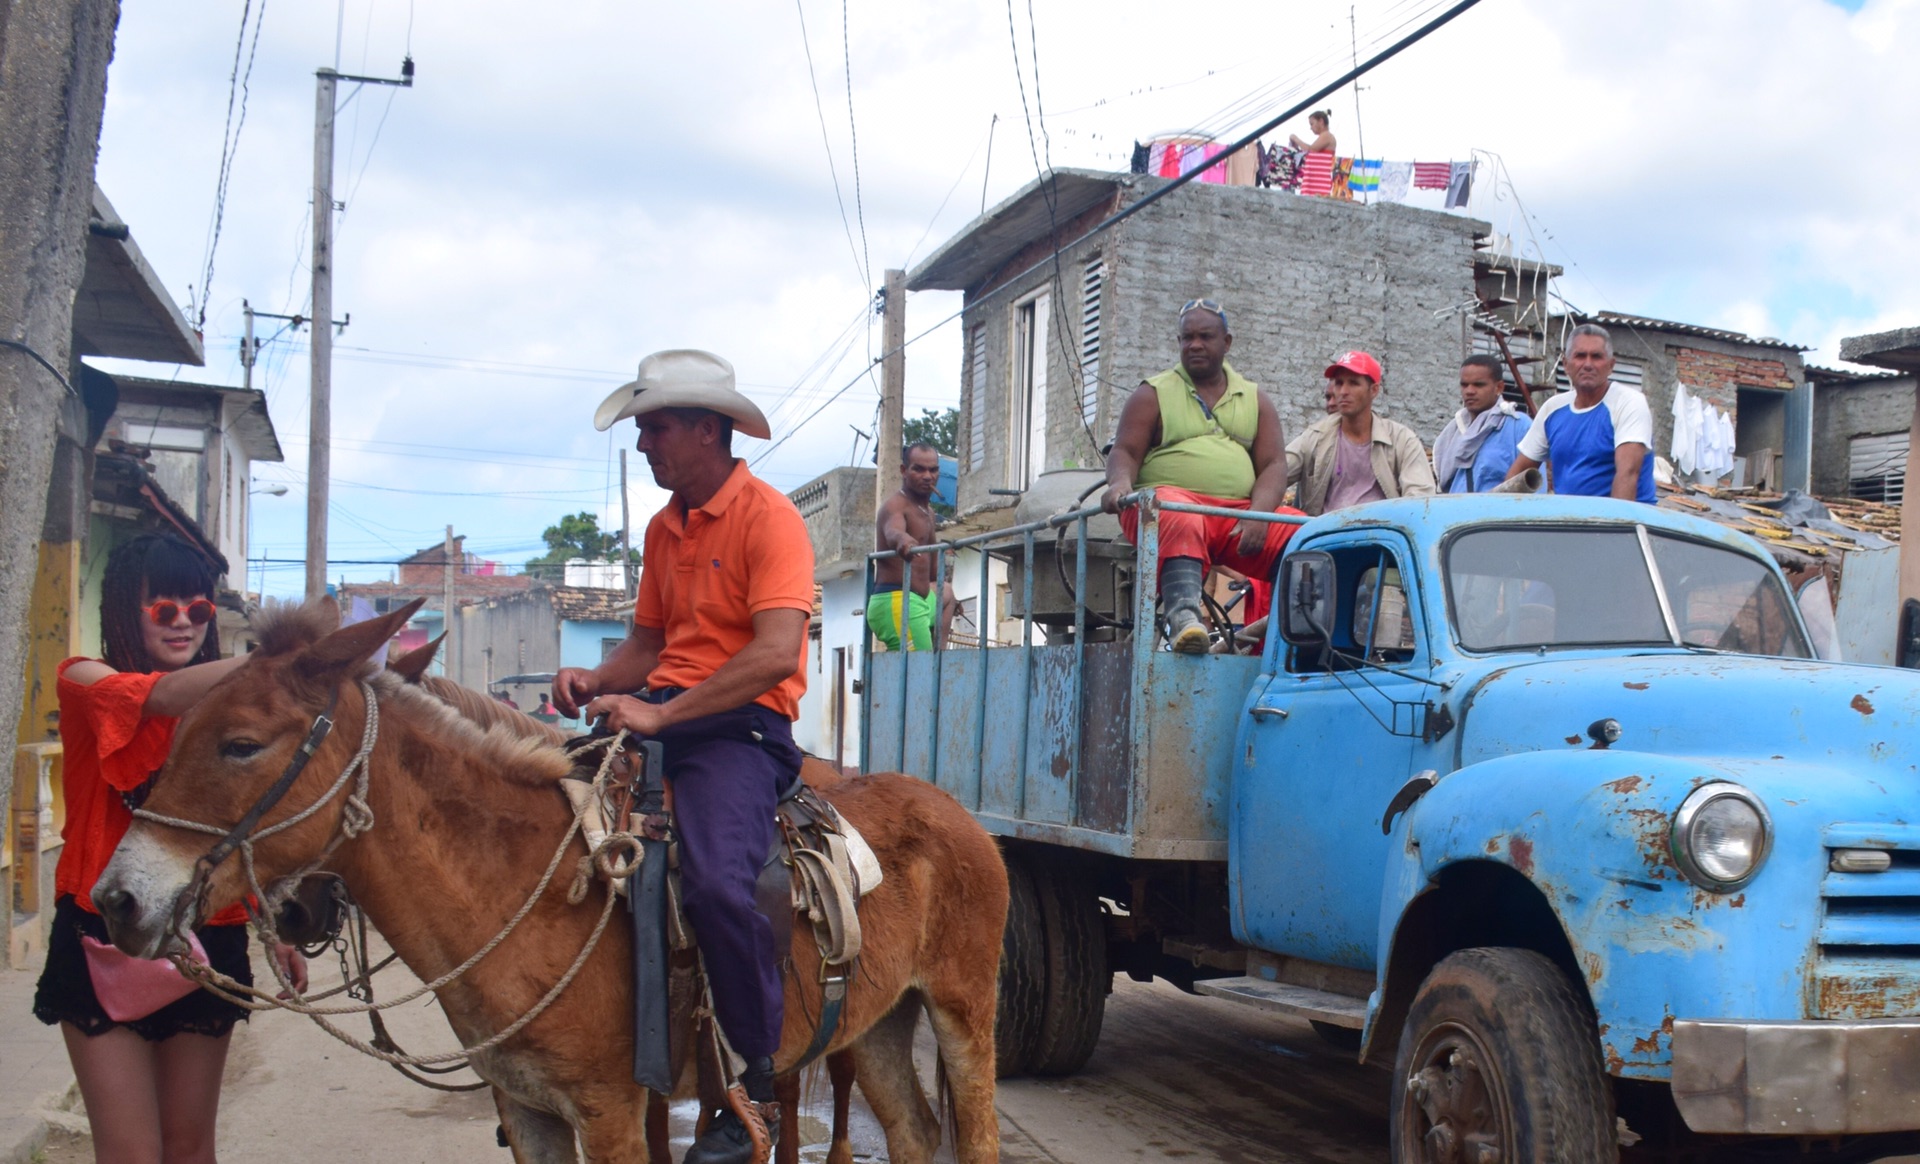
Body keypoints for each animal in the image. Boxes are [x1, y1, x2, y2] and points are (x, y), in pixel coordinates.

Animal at [93, 603, 1006, 1164]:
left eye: (241, 744)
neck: (520, 891)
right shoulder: (526, 1111)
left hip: (962, 1013)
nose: (117, 901)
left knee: (974, 1134)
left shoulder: (609, 1114)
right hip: (878, 1024)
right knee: (916, 1132)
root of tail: (956, 813)